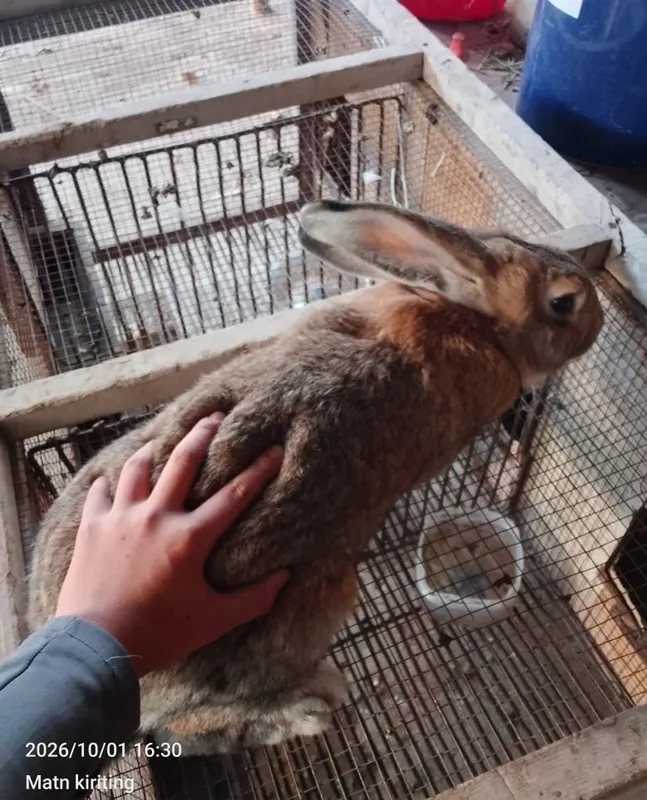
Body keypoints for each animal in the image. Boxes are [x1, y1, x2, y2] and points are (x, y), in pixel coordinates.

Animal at [27, 200, 604, 756]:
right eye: (563, 303)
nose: (598, 321)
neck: (471, 322)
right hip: (316, 607)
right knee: (190, 725)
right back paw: (309, 705)